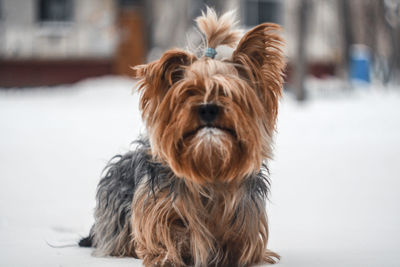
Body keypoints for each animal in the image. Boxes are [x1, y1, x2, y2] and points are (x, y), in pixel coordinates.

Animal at [79, 8, 284, 267]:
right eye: (189, 92)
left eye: (227, 92)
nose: (208, 108)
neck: (209, 166)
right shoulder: (158, 210)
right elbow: (165, 237)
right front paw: (167, 255)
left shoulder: (245, 222)